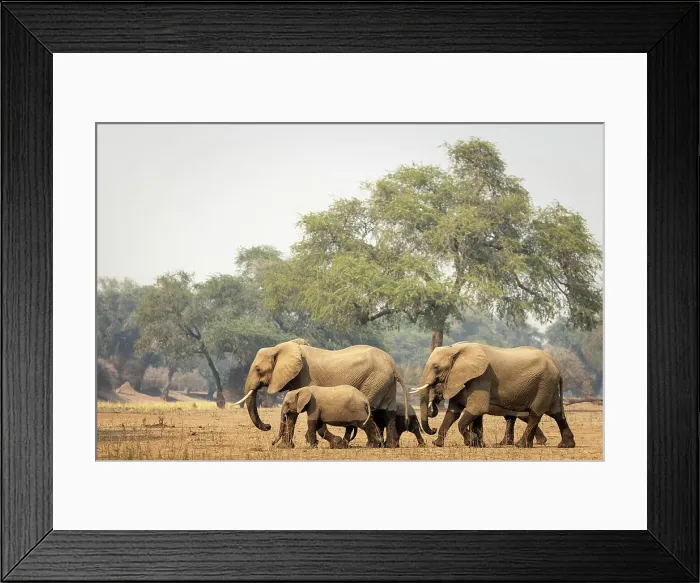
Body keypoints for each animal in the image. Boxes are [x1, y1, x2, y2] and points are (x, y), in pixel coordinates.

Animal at [236, 339, 409, 448]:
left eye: (258, 369)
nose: (268, 426)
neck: (283, 348)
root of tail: (394, 365)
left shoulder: (306, 377)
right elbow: (293, 412)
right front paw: (285, 447)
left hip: (375, 381)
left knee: (371, 413)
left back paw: (370, 445)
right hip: (385, 383)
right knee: (387, 412)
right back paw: (389, 445)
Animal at [413, 342, 574, 448]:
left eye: (436, 367)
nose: (432, 430)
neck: (457, 349)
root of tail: (557, 367)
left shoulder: (482, 377)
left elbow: (477, 408)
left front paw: (471, 442)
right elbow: (454, 411)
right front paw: (437, 444)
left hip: (544, 384)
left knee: (535, 414)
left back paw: (521, 445)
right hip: (549, 385)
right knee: (557, 413)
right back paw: (565, 445)